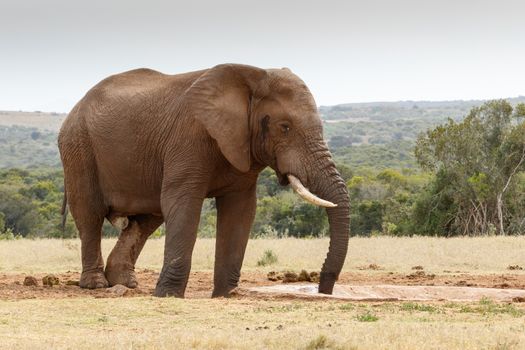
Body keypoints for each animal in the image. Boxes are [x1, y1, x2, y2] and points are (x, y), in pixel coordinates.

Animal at [58, 64, 348, 296]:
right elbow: (183, 205)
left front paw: (226, 295)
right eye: (284, 127)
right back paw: (96, 284)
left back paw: (125, 283)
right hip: (78, 146)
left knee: (145, 219)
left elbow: (241, 210)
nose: (323, 289)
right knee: (90, 215)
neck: (252, 77)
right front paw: (168, 295)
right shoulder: (189, 137)